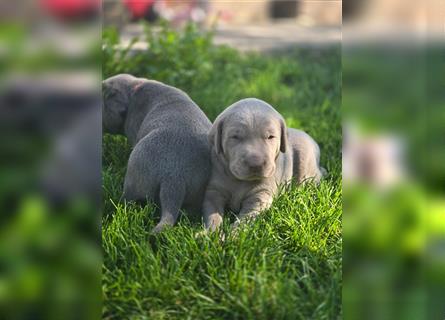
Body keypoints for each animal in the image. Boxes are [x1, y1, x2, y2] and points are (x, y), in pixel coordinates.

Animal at [201, 98, 322, 232]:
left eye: (270, 137)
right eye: (235, 137)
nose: (256, 164)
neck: (241, 181)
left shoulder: (260, 195)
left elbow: (246, 218)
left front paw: (235, 234)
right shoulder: (214, 192)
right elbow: (212, 213)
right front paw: (210, 232)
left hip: (305, 161)